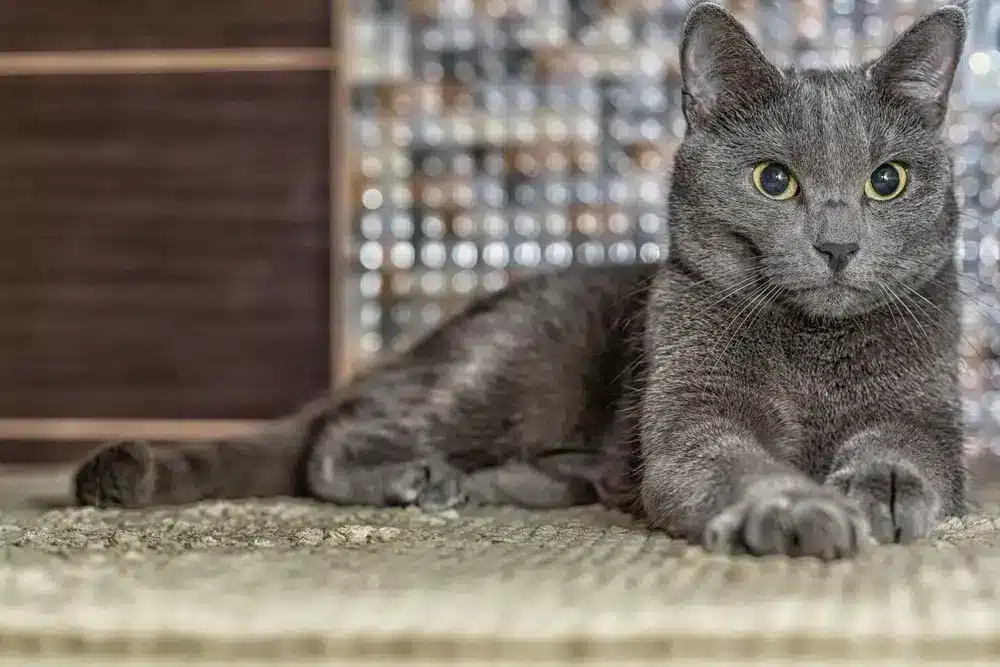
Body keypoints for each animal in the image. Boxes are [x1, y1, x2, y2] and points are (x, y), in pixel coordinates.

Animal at [76, 2, 968, 560]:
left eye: (887, 181)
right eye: (773, 180)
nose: (839, 245)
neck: (812, 350)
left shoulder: (926, 412)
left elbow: (910, 452)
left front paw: (884, 489)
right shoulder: (691, 412)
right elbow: (730, 464)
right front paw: (796, 509)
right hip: (517, 364)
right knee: (331, 440)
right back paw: (417, 478)